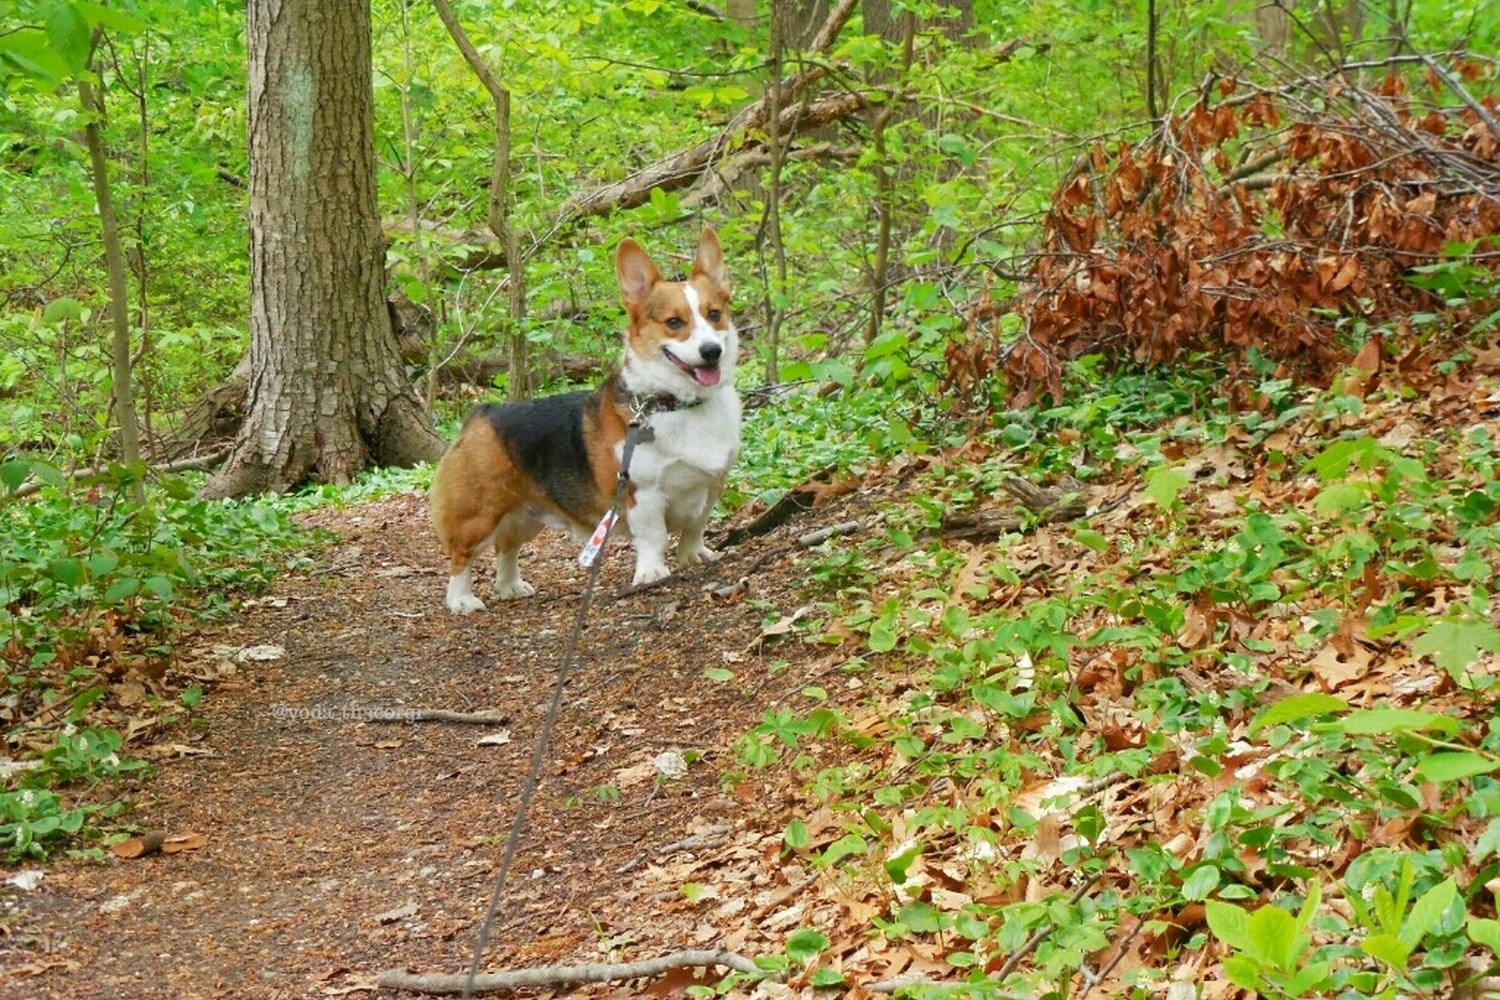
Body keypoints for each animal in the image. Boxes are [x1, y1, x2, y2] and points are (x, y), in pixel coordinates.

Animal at [429, 229, 738, 614]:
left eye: (714, 314)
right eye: (674, 322)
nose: (712, 351)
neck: (678, 404)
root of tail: (480, 414)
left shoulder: (711, 483)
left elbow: (696, 526)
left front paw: (695, 556)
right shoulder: (643, 495)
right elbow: (653, 536)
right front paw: (652, 573)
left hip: (526, 515)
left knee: (507, 548)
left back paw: (510, 586)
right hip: (479, 515)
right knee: (461, 557)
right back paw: (462, 600)